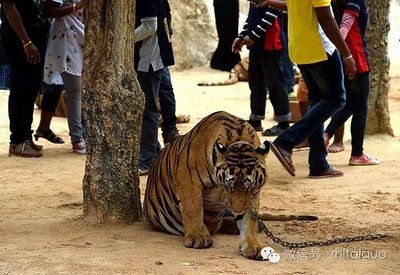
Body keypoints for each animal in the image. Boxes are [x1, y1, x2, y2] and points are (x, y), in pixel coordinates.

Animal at [142, 111, 318, 260]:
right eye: (229, 186)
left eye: (250, 188)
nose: (237, 211)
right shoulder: (187, 177)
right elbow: (193, 208)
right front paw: (198, 237)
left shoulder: (254, 194)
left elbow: (250, 218)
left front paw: (253, 245)